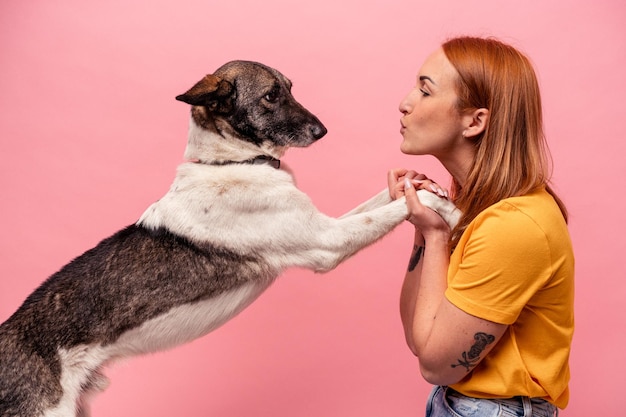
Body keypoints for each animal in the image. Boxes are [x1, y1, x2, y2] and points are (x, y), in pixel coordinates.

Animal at [0, 59, 458, 416]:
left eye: (290, 88)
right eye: (270, 96)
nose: (322, 130)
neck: (232, 163)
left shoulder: (320, 223)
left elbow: (384, 197)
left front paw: (421, 182)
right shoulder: (325, 241)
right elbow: (398, 208)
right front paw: (444, 208)